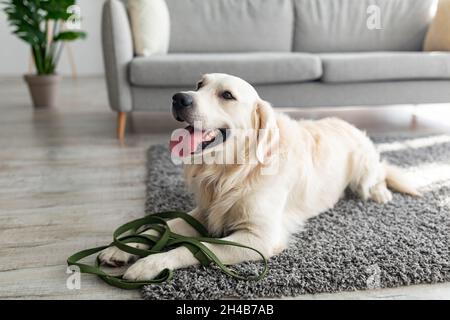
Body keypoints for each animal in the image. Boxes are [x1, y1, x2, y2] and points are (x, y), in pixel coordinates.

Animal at [100, 72, 420, 280]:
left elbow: (197, 248)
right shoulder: (203, 212)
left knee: (378, 176)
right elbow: (161, 226)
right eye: (199, 85)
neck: (232, 172)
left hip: (365, 170)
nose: (179, 98)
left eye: (227, 95)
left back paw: (381, 192)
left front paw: (151, 264)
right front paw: (120, 249)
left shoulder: (257, 237)